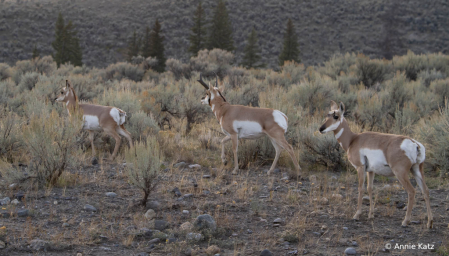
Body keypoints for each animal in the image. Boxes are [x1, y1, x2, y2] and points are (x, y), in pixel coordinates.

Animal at [316, 100, 432, 228]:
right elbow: (370, 188)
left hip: (401, 173)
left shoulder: (360, 168)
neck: (353, 139)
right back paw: (430, 222)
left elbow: (361, 188)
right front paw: (371, 214)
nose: (321, 129)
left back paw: (405, 221)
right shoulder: (370, 171)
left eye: (336, 116)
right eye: (327, 115)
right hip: (417, 171)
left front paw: (357, 215)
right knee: (425, 191)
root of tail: (415, 144)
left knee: (412, 191)